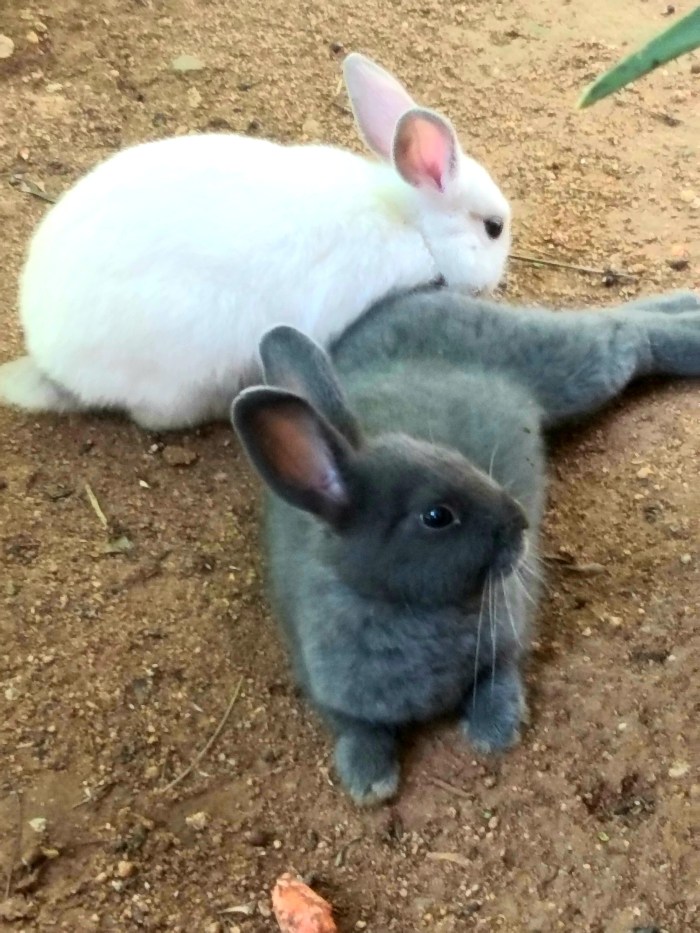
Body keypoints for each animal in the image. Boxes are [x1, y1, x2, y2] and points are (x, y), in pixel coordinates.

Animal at [232, 286, 700, 805]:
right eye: (437, 516)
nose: (520, 523)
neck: (403, 609)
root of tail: (418, 297)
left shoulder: (505, 638)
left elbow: (500, 676)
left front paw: (495, 730)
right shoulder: (330, 690)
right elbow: (357, 728)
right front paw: (369, 781)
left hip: (570, 368)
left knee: (631, 335)